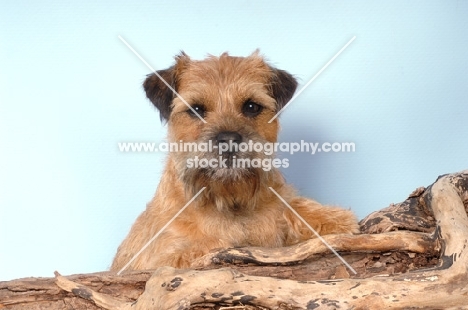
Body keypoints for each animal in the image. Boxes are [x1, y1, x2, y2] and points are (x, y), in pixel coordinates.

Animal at [110, 51, 358, 272]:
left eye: (251, 106)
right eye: (196, 109)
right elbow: (205, 246)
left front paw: (334, 218)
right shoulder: (159, 259)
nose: (228, 139)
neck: (230, 202)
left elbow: (290, 207)